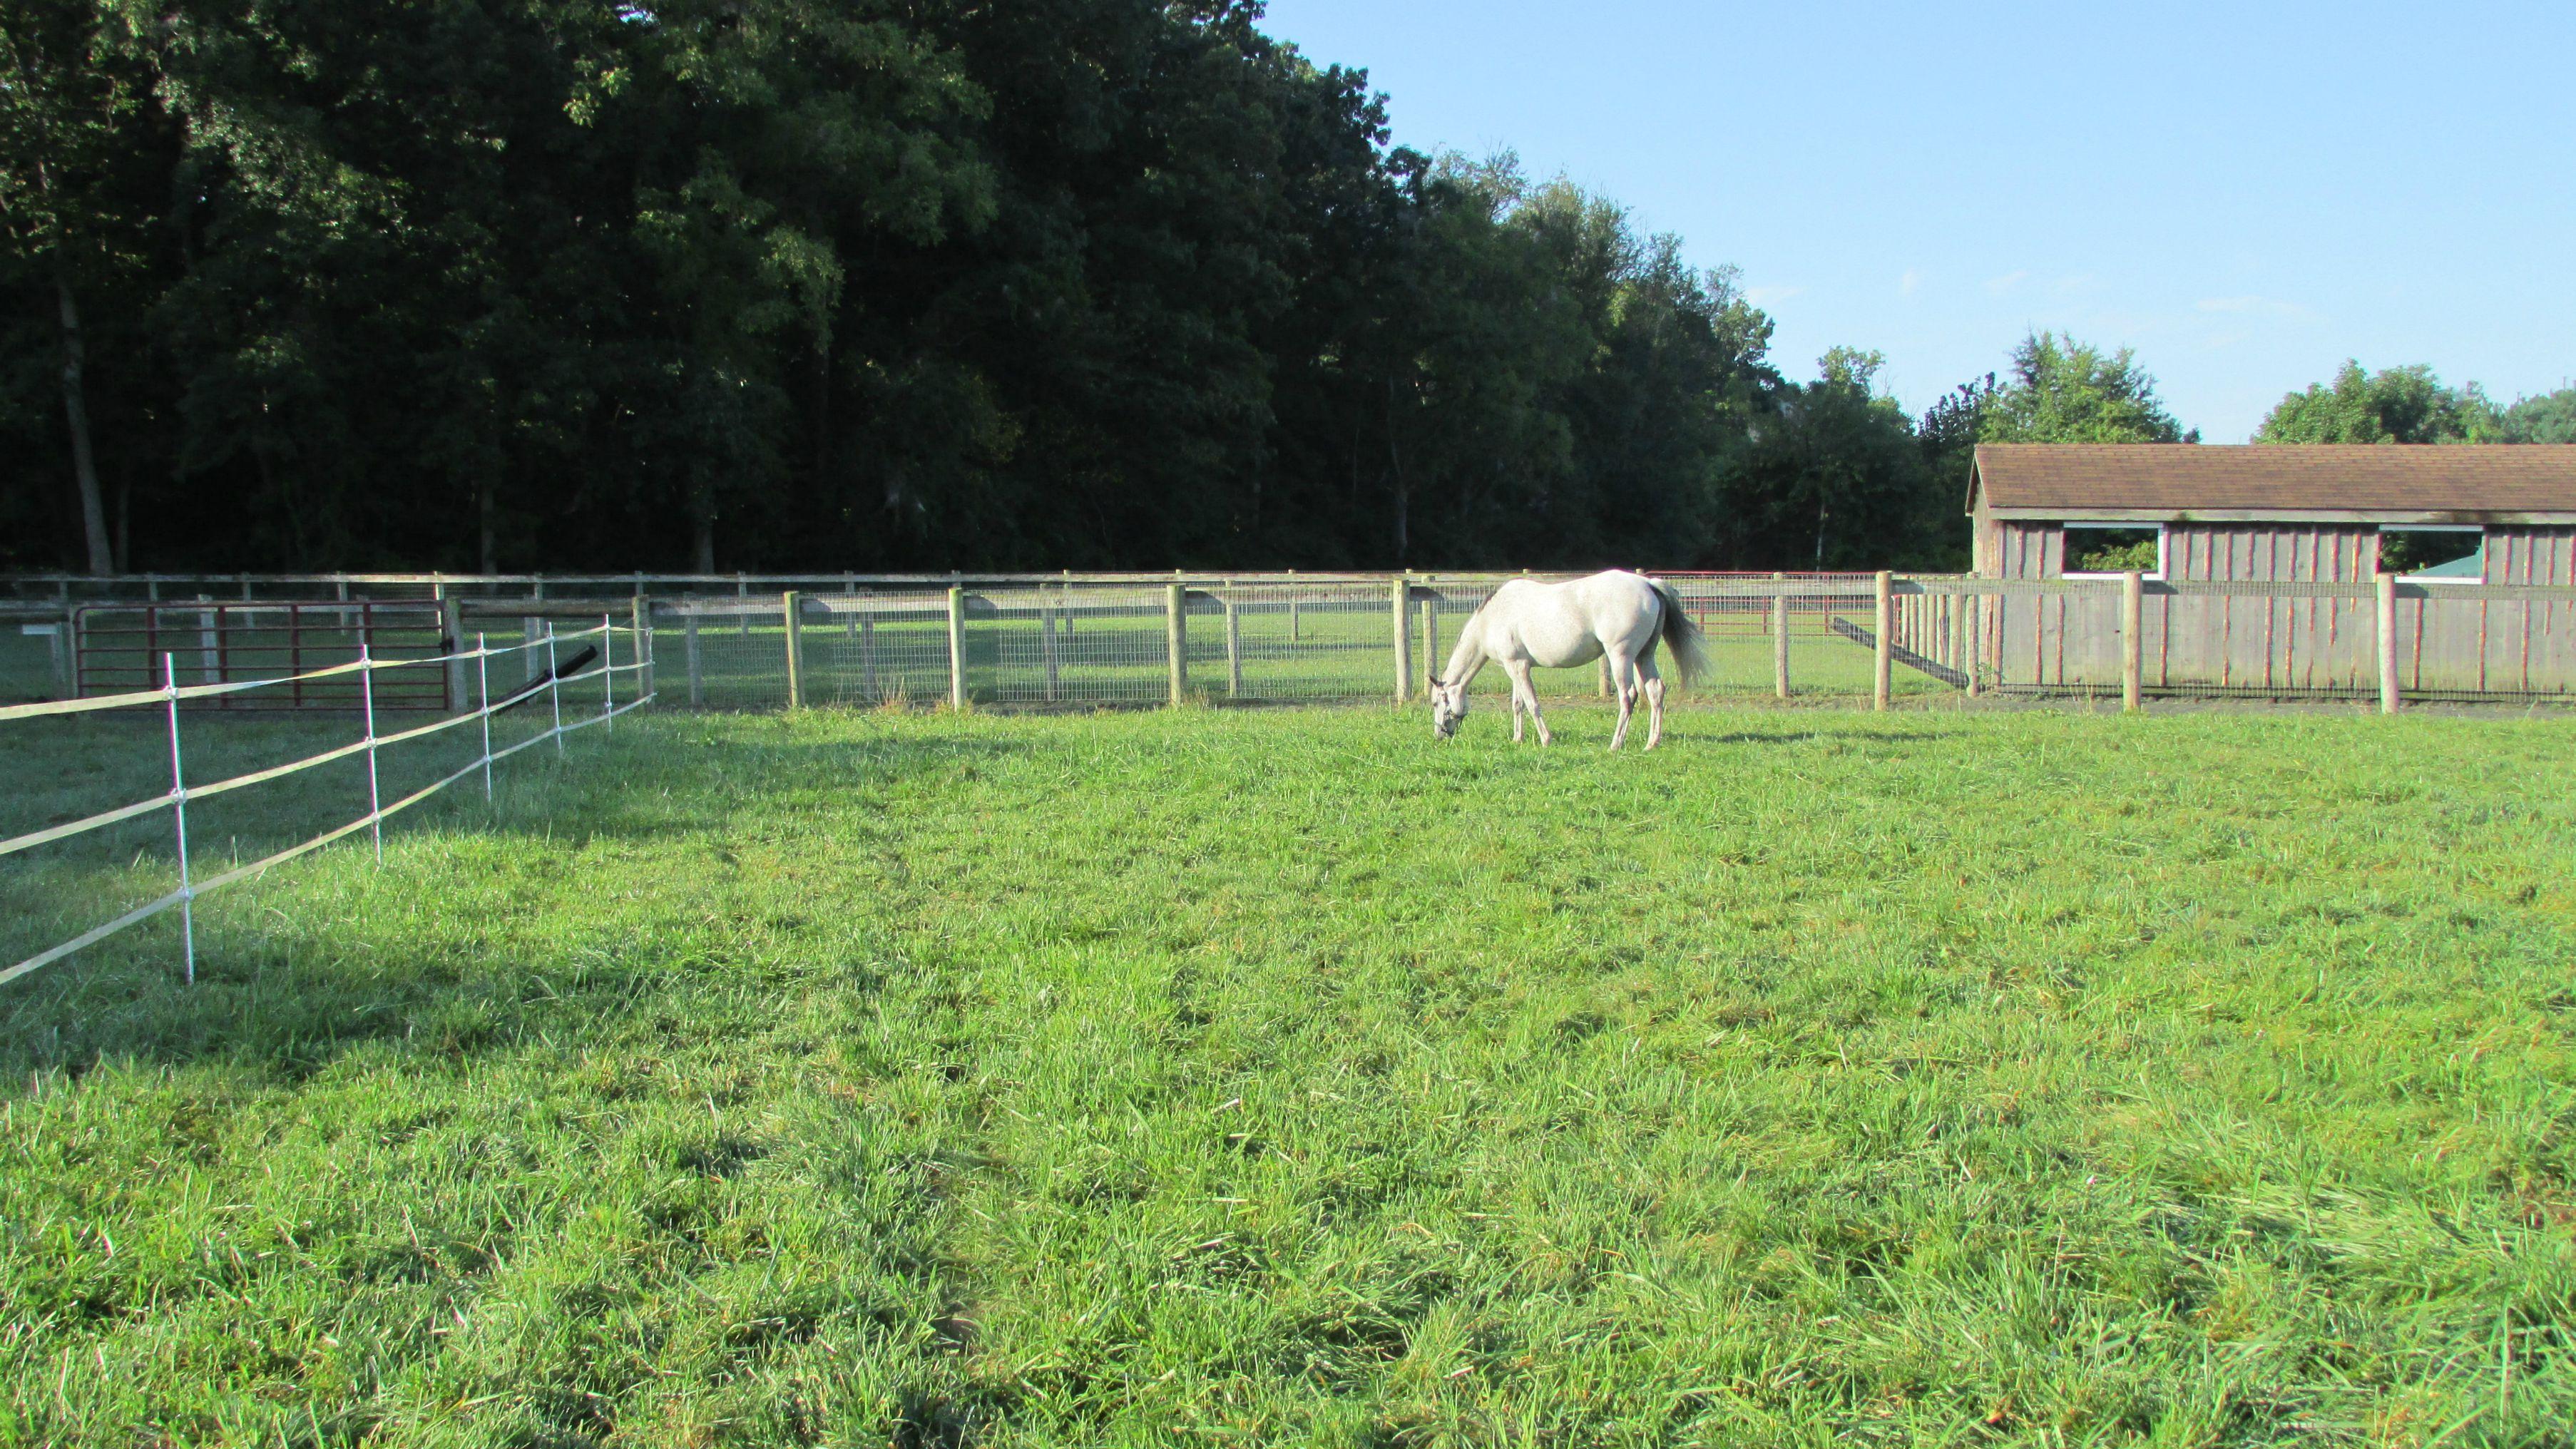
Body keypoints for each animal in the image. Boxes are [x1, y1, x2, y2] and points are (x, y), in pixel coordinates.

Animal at [1432, 568, 1710, 746]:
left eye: (1436, 703)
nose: (1439, 735)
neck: (1492, 618)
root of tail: (1648, 585)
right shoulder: (1516, 668)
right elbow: (1518, 704)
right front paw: (1517, 739)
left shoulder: (1518, 667)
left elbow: (1532, 704)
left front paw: (1546, 740)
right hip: (1645, 655)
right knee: (1655, 691)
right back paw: (1652, 742)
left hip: (1621, 656)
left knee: (1628, 696)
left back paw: (1616, 743)